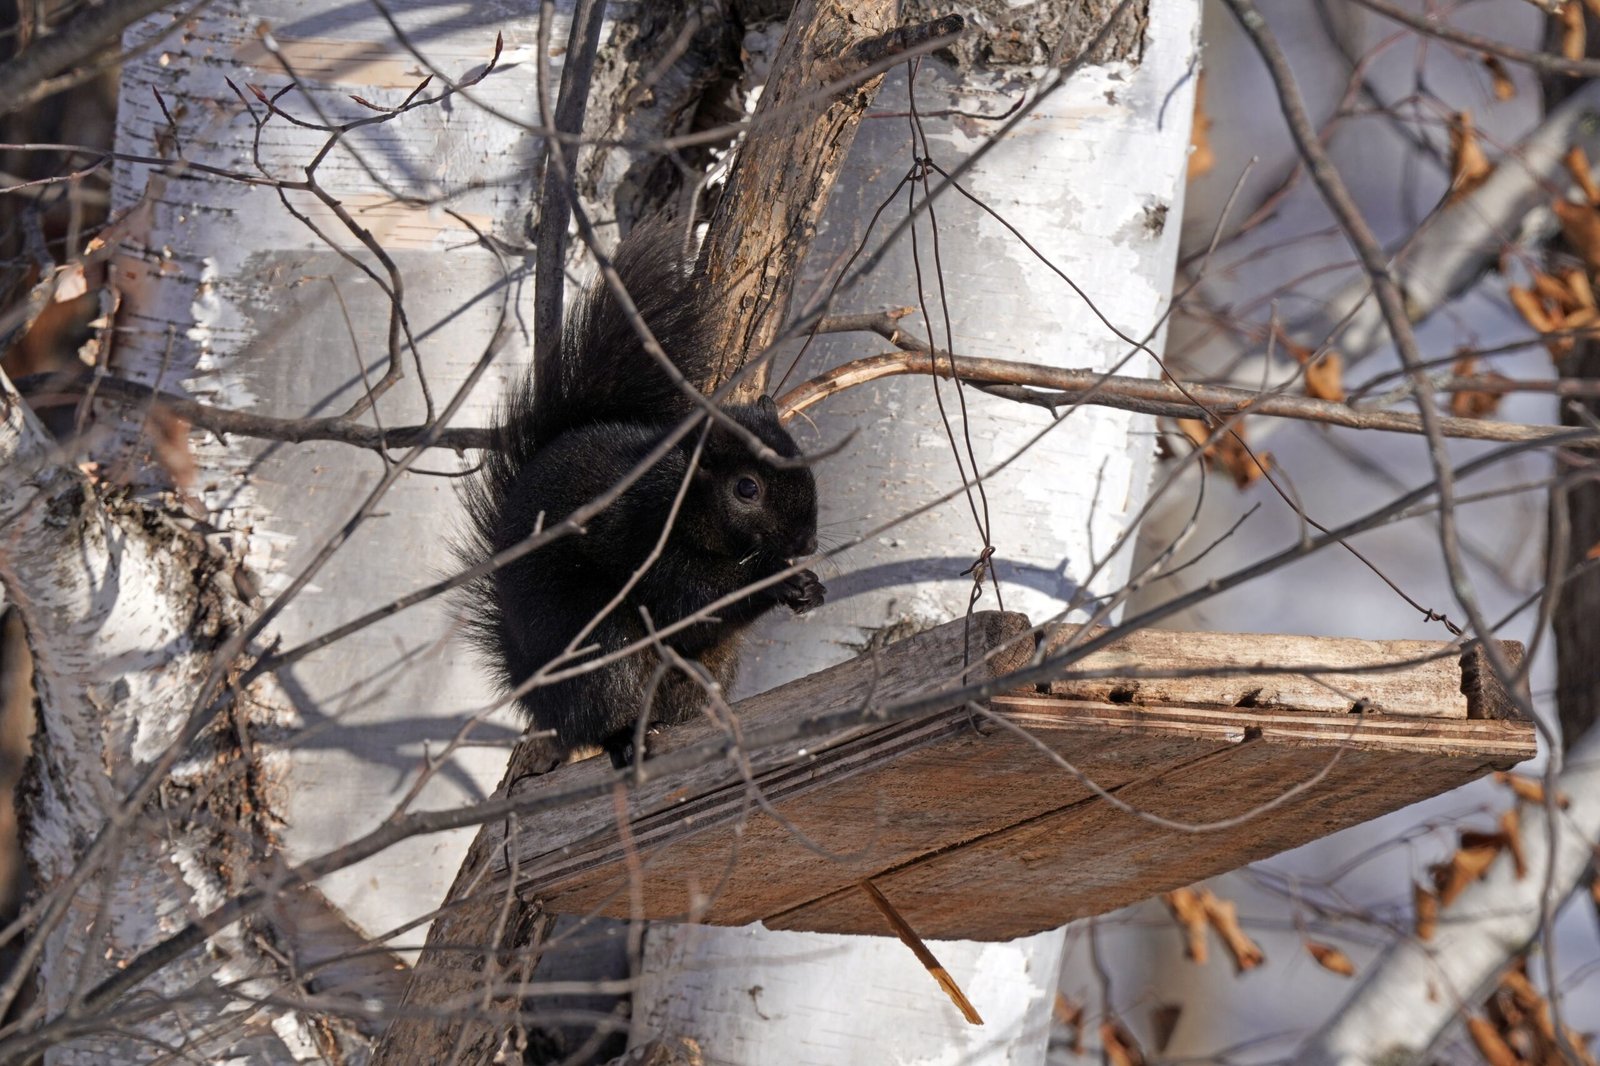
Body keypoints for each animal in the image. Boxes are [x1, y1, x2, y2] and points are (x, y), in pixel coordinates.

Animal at [458, 220, 825, 767]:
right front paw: (772, 580)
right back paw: (625, 738)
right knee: (601, 713)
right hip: (602, 651)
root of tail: (534, 692)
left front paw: (810, 588)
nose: (806, 544)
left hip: (708, 668)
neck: (680, 494)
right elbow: (691, 599)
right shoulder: (639, 533)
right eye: (746, 488)